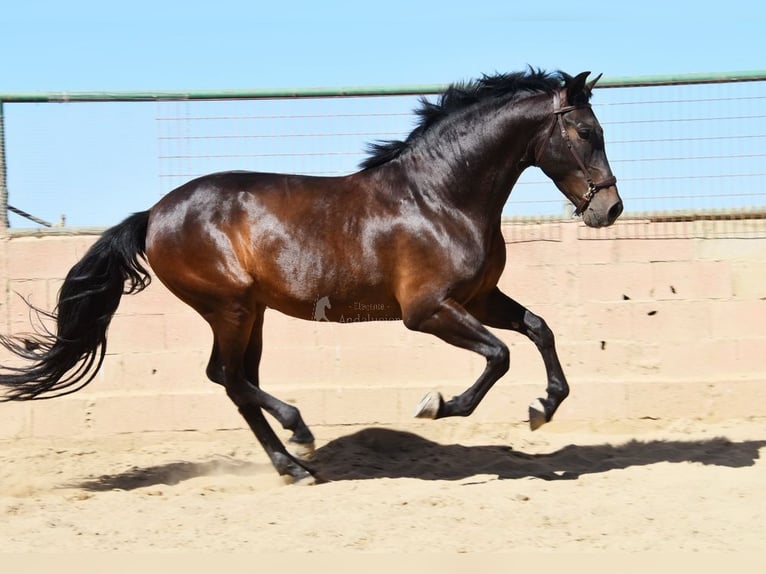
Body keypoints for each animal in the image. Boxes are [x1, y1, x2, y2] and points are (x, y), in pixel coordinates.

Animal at [0, 69, 622, 484]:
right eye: (585, 132)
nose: (609, 209)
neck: (441, 197)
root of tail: (153, 214)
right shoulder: (428, 311)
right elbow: (499, 355)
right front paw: (437, 405)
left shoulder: (480, 297)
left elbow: (538, 329)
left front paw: (544, 408)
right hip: (229, 307)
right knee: (227, 377)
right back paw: (298, 436)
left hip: (252, 312)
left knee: (234, 381)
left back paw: (292, 463)